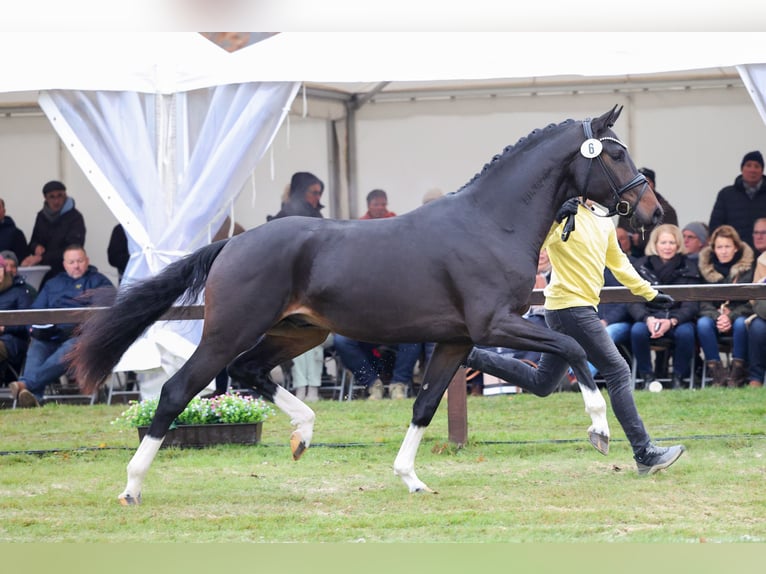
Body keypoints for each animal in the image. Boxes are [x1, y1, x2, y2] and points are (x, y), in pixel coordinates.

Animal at [73, 106, 660, 506]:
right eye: (614, 153)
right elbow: (573, 350)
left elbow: (425, 405)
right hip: (228, 331)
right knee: (177, 391)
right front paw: (599, 431)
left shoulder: (458, 339)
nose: (650, 211)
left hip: (299, 332)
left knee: (251, 371)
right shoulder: (495, 324)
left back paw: (304, 434)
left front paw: (411, 479)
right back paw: (132, 487)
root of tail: (232, 245)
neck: (492, 223)